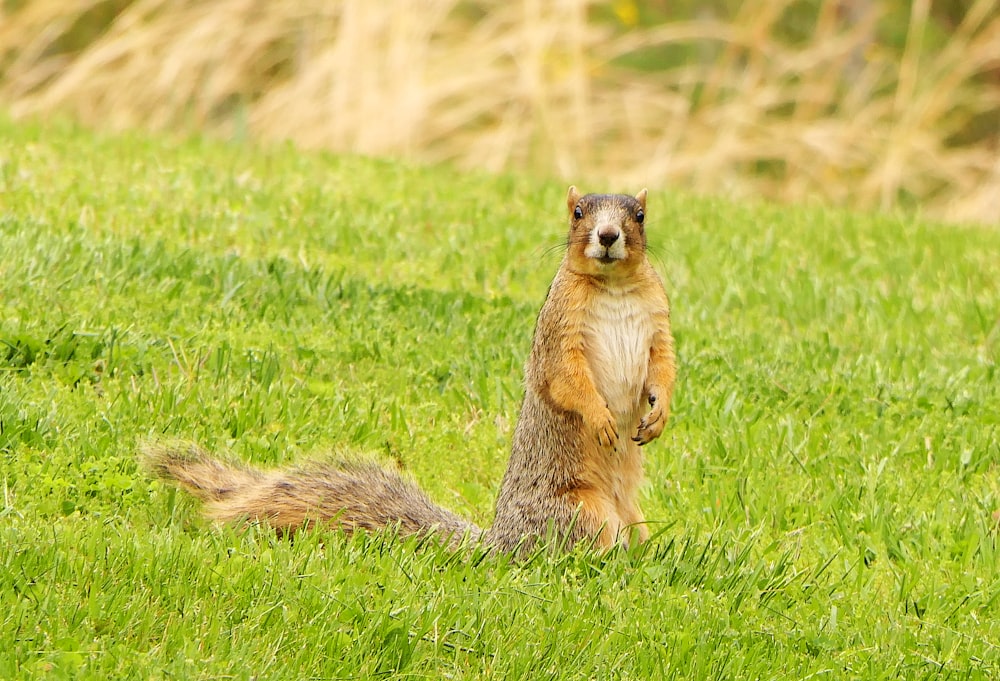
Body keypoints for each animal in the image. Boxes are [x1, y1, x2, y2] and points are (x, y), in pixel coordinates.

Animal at [145, 186, 680, 552]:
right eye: (577, 213)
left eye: (639, 215)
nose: (608, 235)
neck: (612, 287)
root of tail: (501, 544)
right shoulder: (558, 332)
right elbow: (565, 377)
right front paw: (602, 418)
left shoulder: (658, 322)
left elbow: (664, 367)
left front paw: (658, 414)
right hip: (581, 512)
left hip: (629, 516)